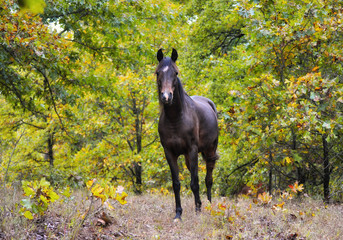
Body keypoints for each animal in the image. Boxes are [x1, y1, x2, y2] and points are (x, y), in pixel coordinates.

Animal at [157, 48, 220, 219]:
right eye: (158, 72)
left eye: (175, 73)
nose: (166, 97)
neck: (175, 119)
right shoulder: (169, 152)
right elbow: (176, 184)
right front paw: (178, 214)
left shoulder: (192, 150)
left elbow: (194, 182)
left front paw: (198, 210)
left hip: (210, 150)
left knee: (208, 179)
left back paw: (209, 205)